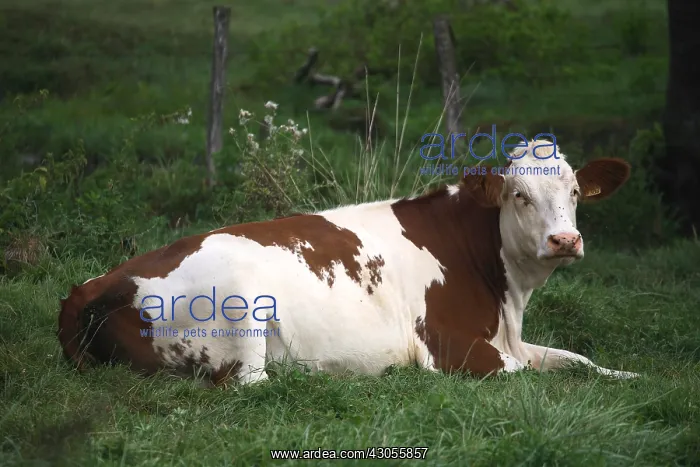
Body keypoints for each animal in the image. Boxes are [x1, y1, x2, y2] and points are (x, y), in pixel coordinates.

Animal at [57, 140, 638, 387]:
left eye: (575, 191)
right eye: (519, 195)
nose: (565, 239)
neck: (507, 300)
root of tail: (94, 282)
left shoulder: (509, 339)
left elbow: (578, 361)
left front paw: (630, 374)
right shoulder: (451, 348)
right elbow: (529, 377)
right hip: (243, 298)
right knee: (252, 382)